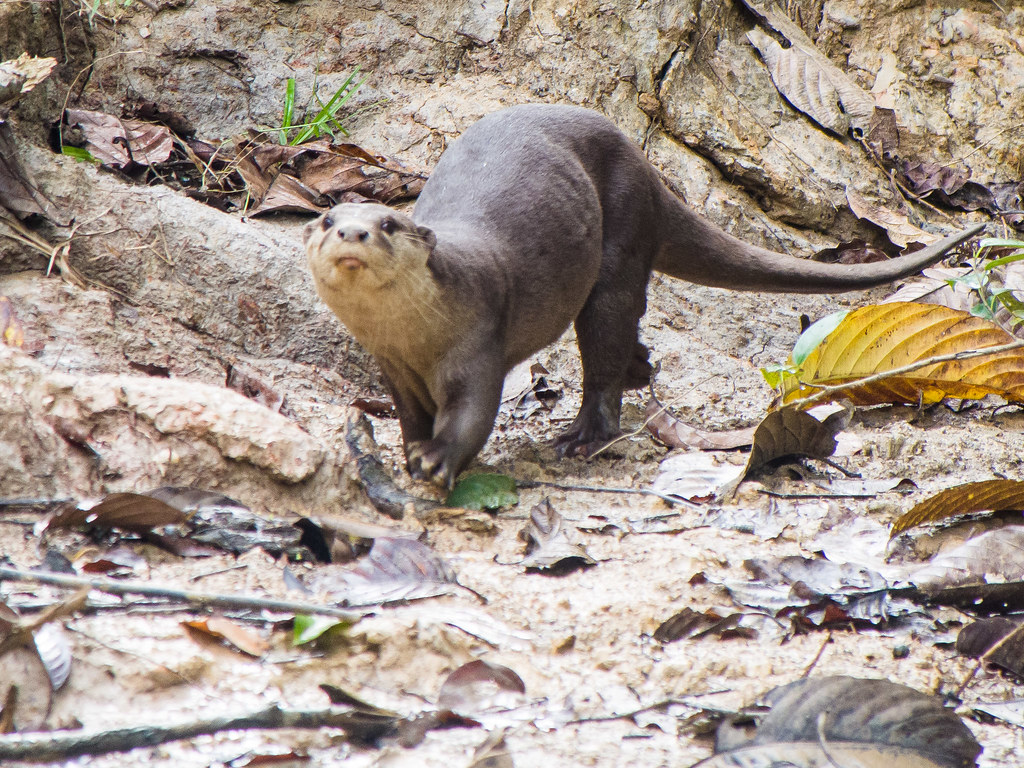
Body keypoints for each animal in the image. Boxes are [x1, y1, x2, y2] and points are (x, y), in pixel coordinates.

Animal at [305, 104, 983, 487]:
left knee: (604, 343)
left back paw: (582, 436)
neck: (420, 340)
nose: (352, 232)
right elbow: (410, 416)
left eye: (388, 224)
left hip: (621, 238)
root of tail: (652, 172)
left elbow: (470, 415)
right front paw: (408, 452)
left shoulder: (478, 345)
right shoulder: (394, 367)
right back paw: (639, 373)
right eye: (327, 218)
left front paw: (436, 460)